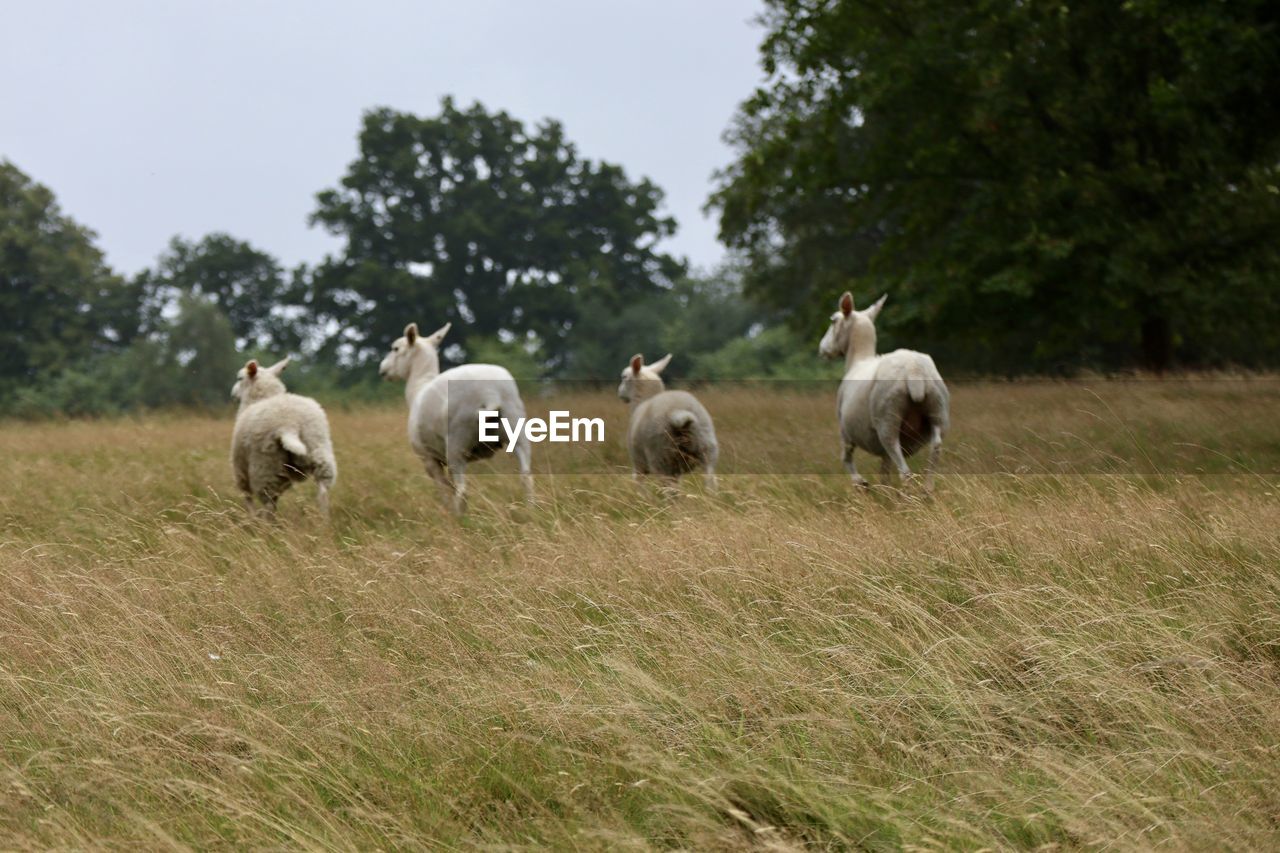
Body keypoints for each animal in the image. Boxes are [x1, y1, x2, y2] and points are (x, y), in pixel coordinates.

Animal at [230, 356, 337, 514]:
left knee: (268, 503)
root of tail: (290, 424)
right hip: (320, 451)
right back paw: (323, 520)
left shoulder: (240, 467)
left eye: (240, 378)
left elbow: (247, 496)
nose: (233, 394)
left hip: (263, 465)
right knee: (323, 491)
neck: (262, 397)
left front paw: (251, 515)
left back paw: (264, 520)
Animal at [376, 322, 532, 514]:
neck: (419, 387)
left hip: (457, 444)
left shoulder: (428, 458)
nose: (382, 369)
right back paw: (532, 510)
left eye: (396, 348)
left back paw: (460, 518)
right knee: (526, 477)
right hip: (517, 429)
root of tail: (489, 393)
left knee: (462, 491)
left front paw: (446, 514)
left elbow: (444, 490)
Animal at [614, 353, 716, 491]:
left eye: (624, 377)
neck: (643, 400)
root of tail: (679, 412)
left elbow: (639, 485)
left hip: (661, 458)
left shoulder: (638, 462)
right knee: (710, 483)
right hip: (707, 449)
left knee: (670, 491)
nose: (619, 393)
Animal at [819, 290, 952, 489]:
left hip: (887, 421)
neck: (858, 359)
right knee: (935, 448)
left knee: (904, 472)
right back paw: (927, 490)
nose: (822, 349)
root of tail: (913, 370)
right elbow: (885, 471)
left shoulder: (845, 430)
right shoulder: (882, 451)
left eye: (833, 320)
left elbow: (846, 459)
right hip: (938, 411)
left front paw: (861, 484)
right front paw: (884, 490)